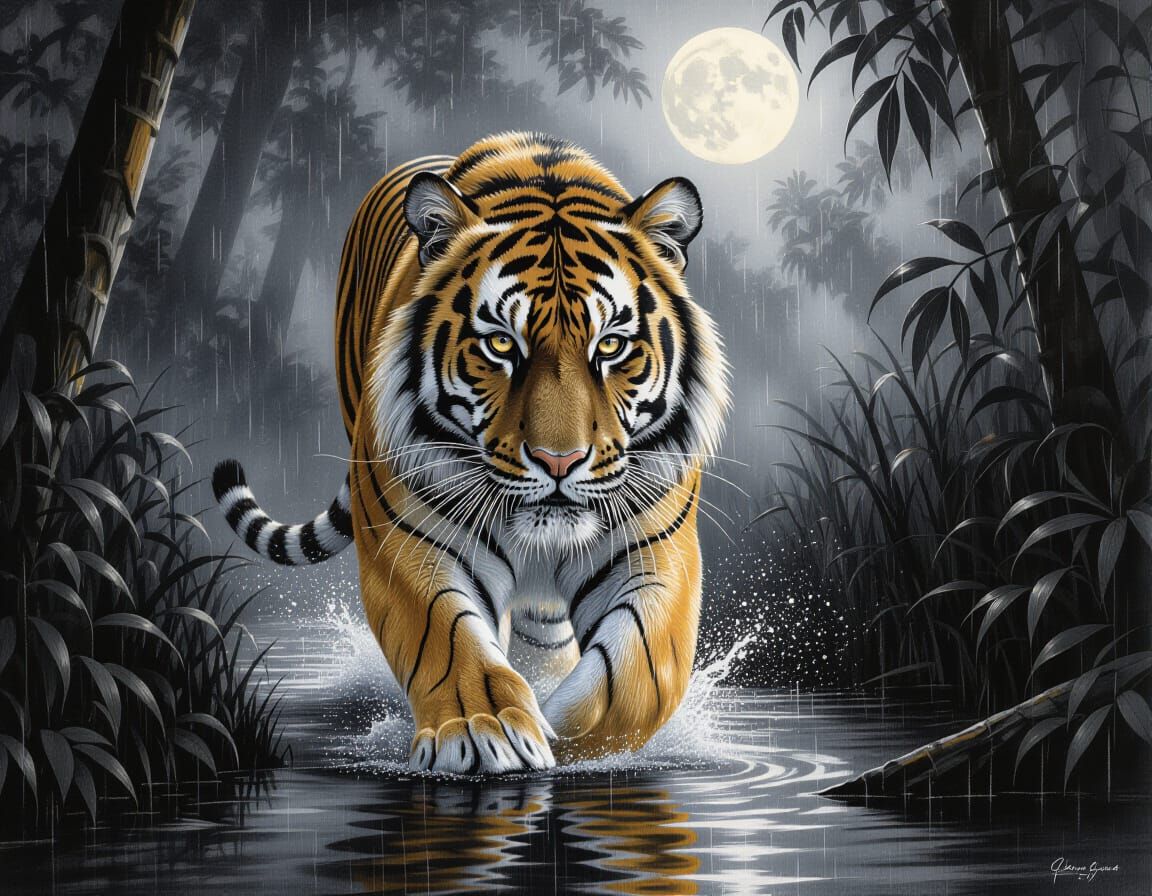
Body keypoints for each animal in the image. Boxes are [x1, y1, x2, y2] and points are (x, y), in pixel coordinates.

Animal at [213, 132, 729, 774]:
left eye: (610, 346)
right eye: (502, 344)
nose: (559, 462)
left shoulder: (656, 550)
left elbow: (637, 679)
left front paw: (563, 737)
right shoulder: (409, 538)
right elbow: (446, 635)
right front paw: (487, 730)